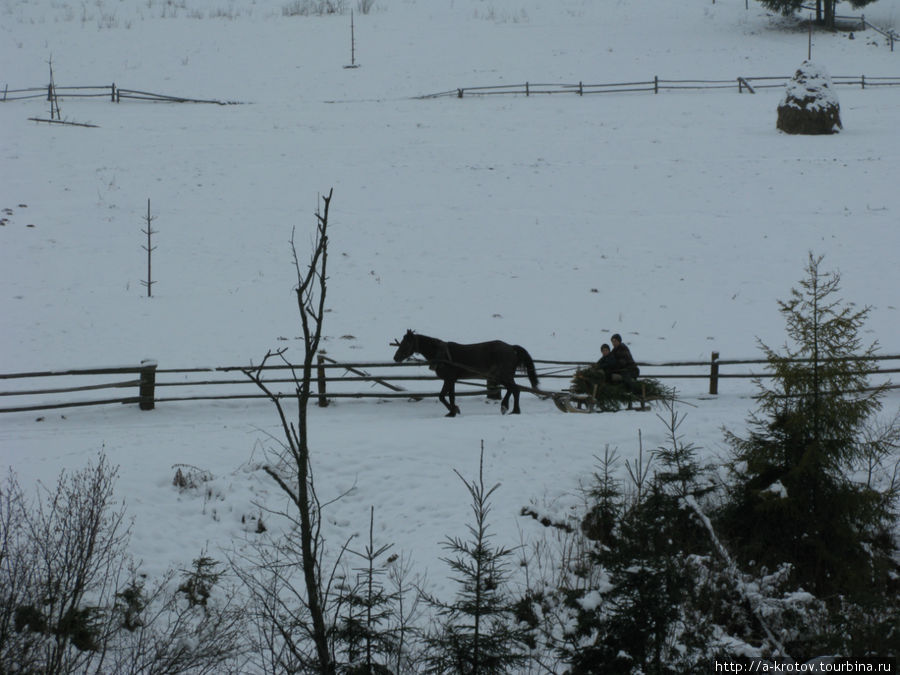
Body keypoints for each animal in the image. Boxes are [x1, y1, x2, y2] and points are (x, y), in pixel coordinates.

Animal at [390, 332, 536, 420]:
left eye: (407, 343)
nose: (396, 357)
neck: (442, 355)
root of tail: (511, 347)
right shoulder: (451, 380)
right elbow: (449, 396)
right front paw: (453, 411)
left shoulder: (449, 379)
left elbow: (443, 396)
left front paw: (454, 411)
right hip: (501, 377)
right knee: (514, 389)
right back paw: (512, 409)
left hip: (503, 376)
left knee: (515, 389)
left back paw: (509, 408)